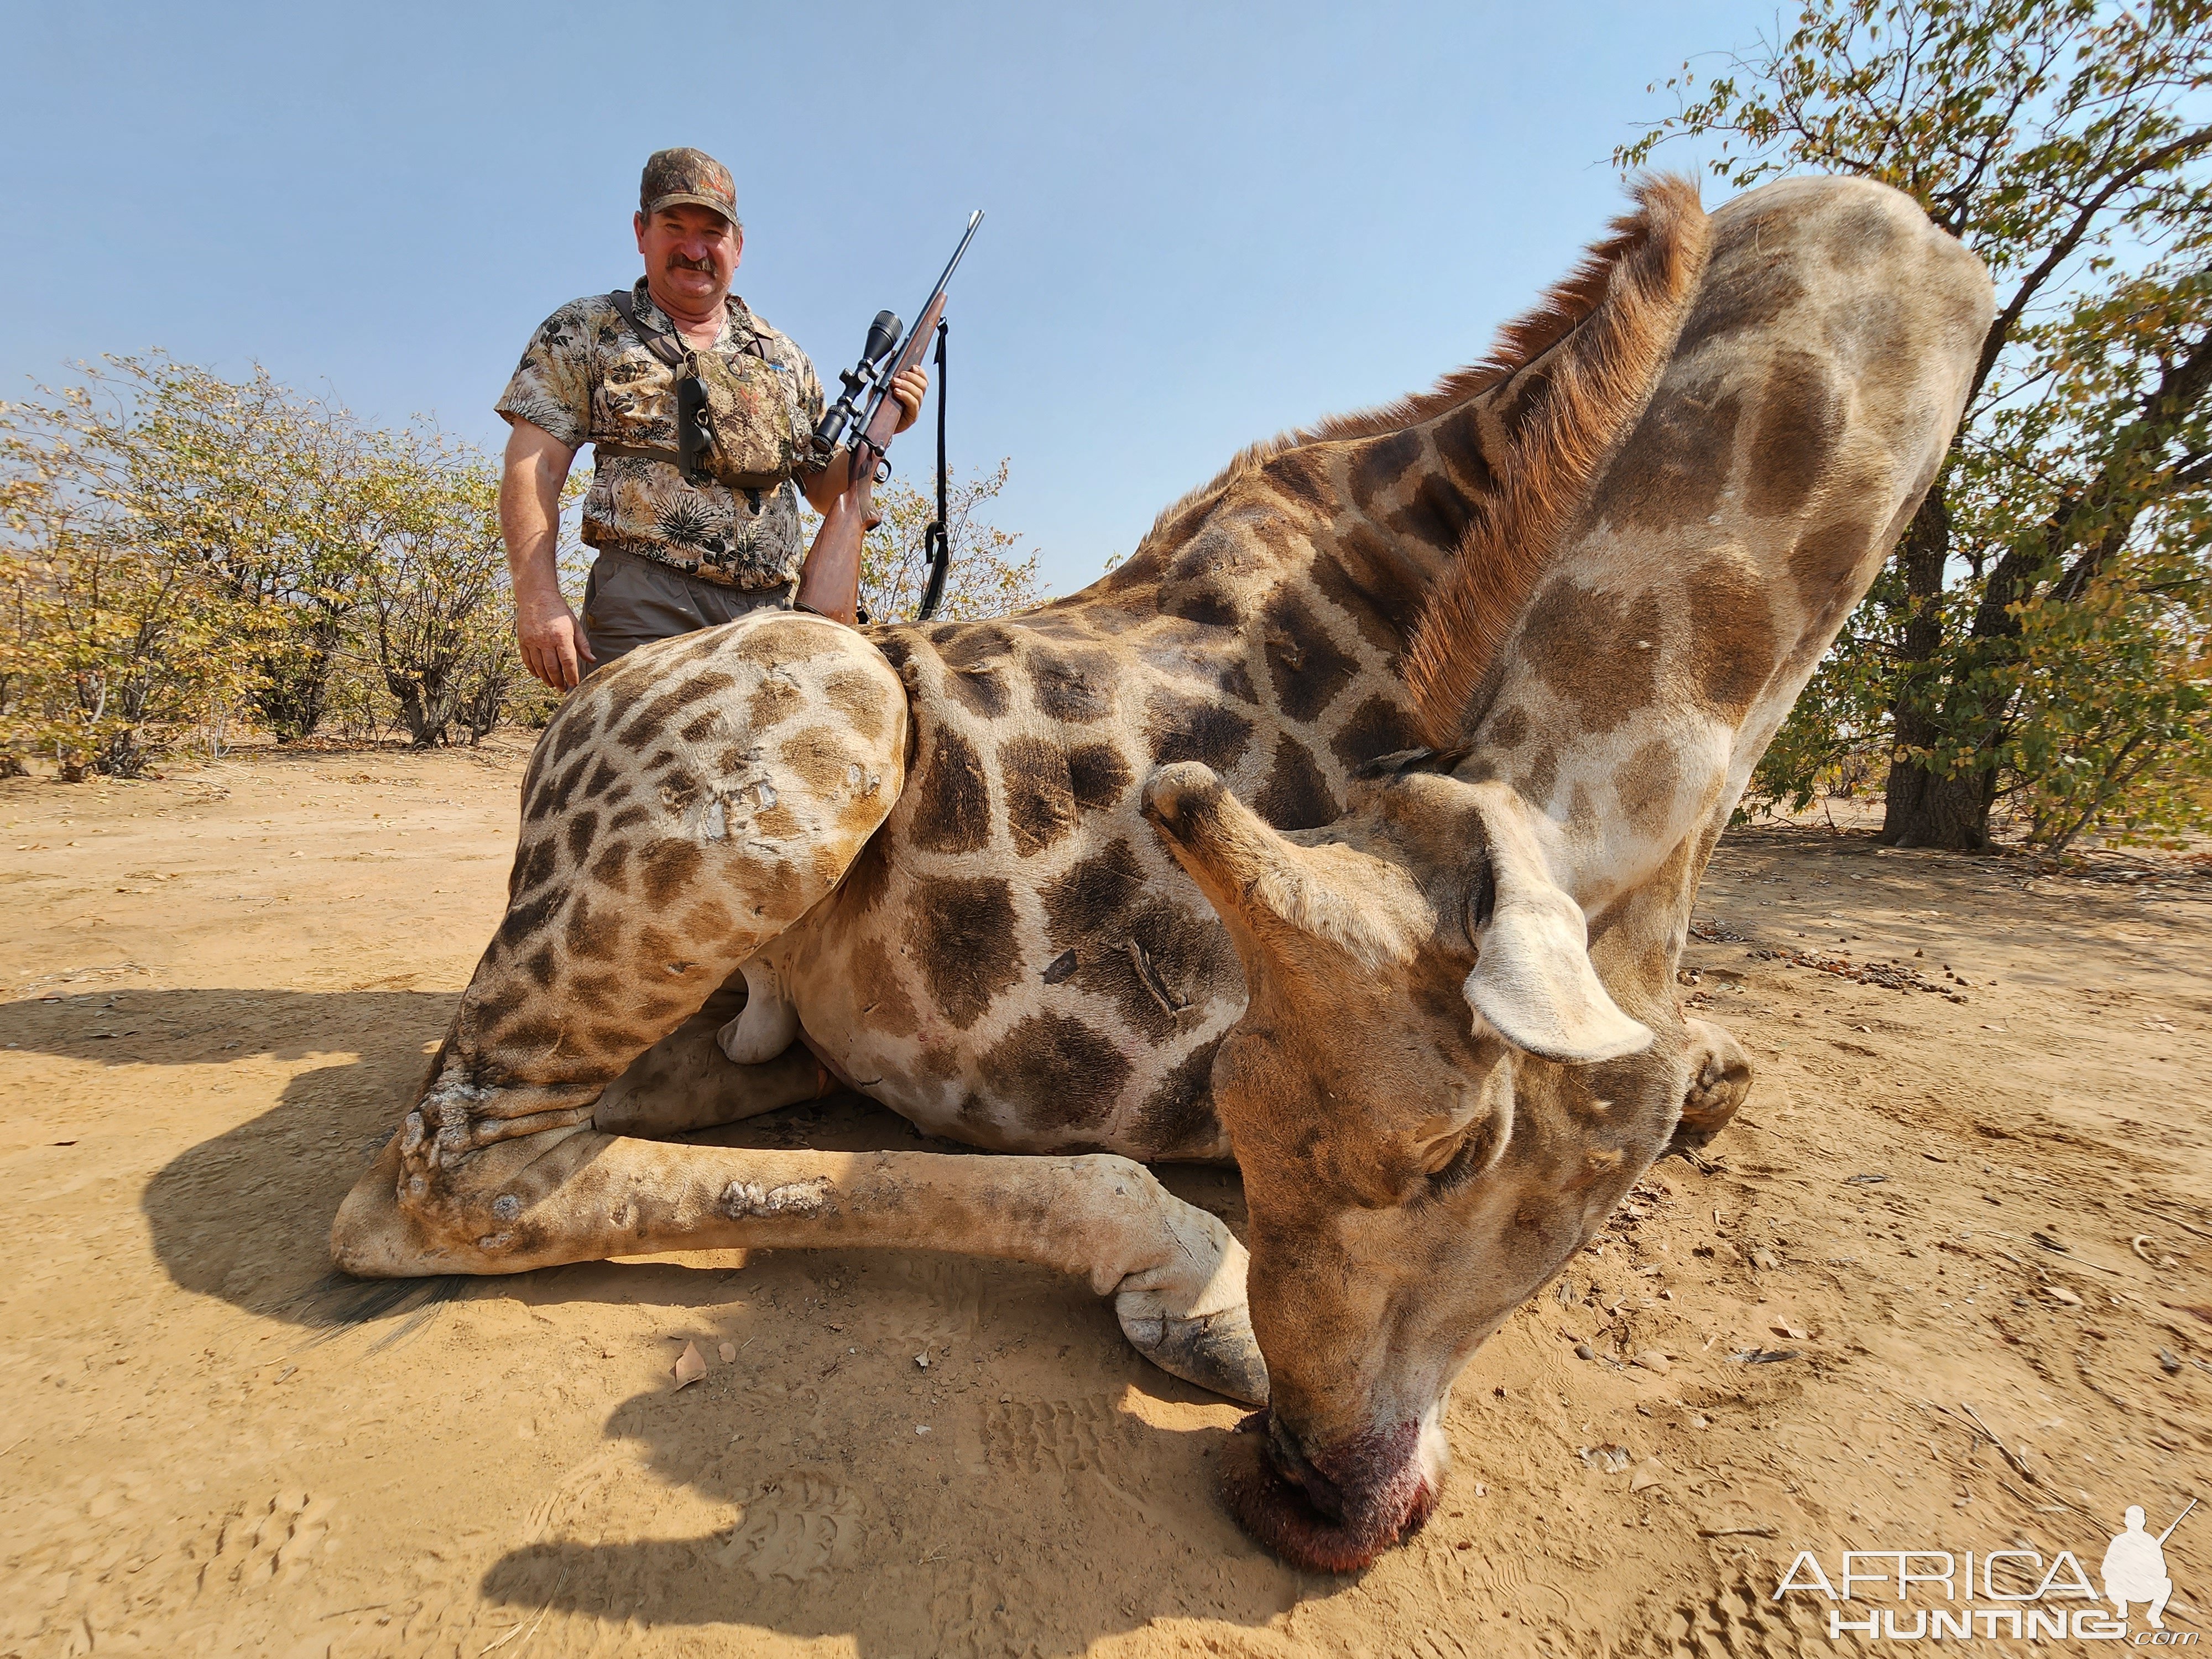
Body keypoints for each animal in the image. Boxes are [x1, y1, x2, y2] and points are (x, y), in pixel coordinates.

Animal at [336, 181, 2000, 1575]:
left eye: (1458, 1158)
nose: (1313, 1497)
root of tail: (564, 720)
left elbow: (1724, 1062)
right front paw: (1208, 1293)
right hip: (827, 722)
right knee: (438, 1173)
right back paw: (1182, 1278)